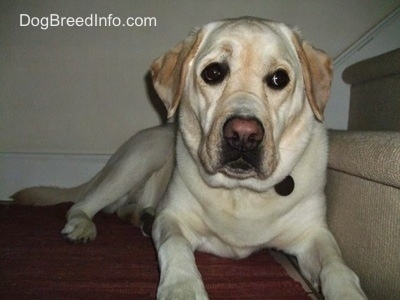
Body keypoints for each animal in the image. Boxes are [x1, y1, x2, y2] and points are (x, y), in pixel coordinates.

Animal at [14, 17, 368, 300]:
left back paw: (141, 217)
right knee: (83, 204)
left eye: (279, 79)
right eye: (213, 72)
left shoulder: (314, 236)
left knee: (122, 209)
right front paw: (182, 288)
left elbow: (338, 267)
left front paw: (348, 291)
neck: (241, 193)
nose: (243, 135)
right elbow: (176, 248)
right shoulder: (174, 219)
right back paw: (83, 226)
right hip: (139, 159)